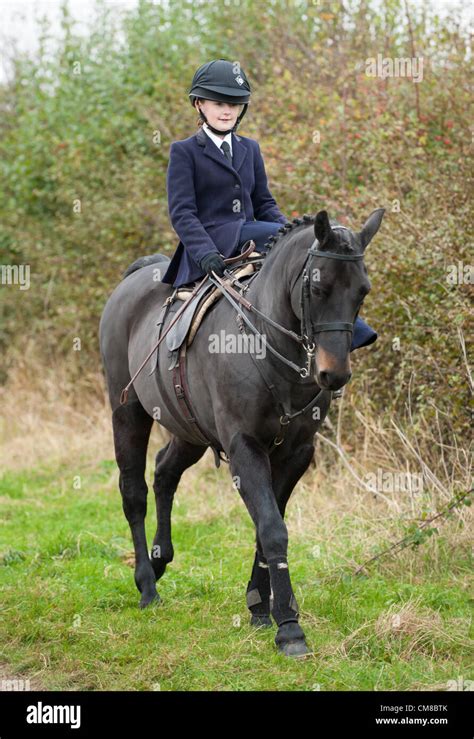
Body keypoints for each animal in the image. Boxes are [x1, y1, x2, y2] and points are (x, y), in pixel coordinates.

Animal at [100, 208, 386, 660]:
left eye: (363, 290)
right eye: (317, 286)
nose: (334, 374)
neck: (270, 346)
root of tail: (140, 273)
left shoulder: (296, 453)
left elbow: (267, 526)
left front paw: (259, 607)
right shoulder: (244, 447)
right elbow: (271, 528)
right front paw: (289, 628)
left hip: (190, 430)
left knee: (165, 471)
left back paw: (160, 558)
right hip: (127, 412)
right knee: (134, 492)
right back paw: (146, 585)